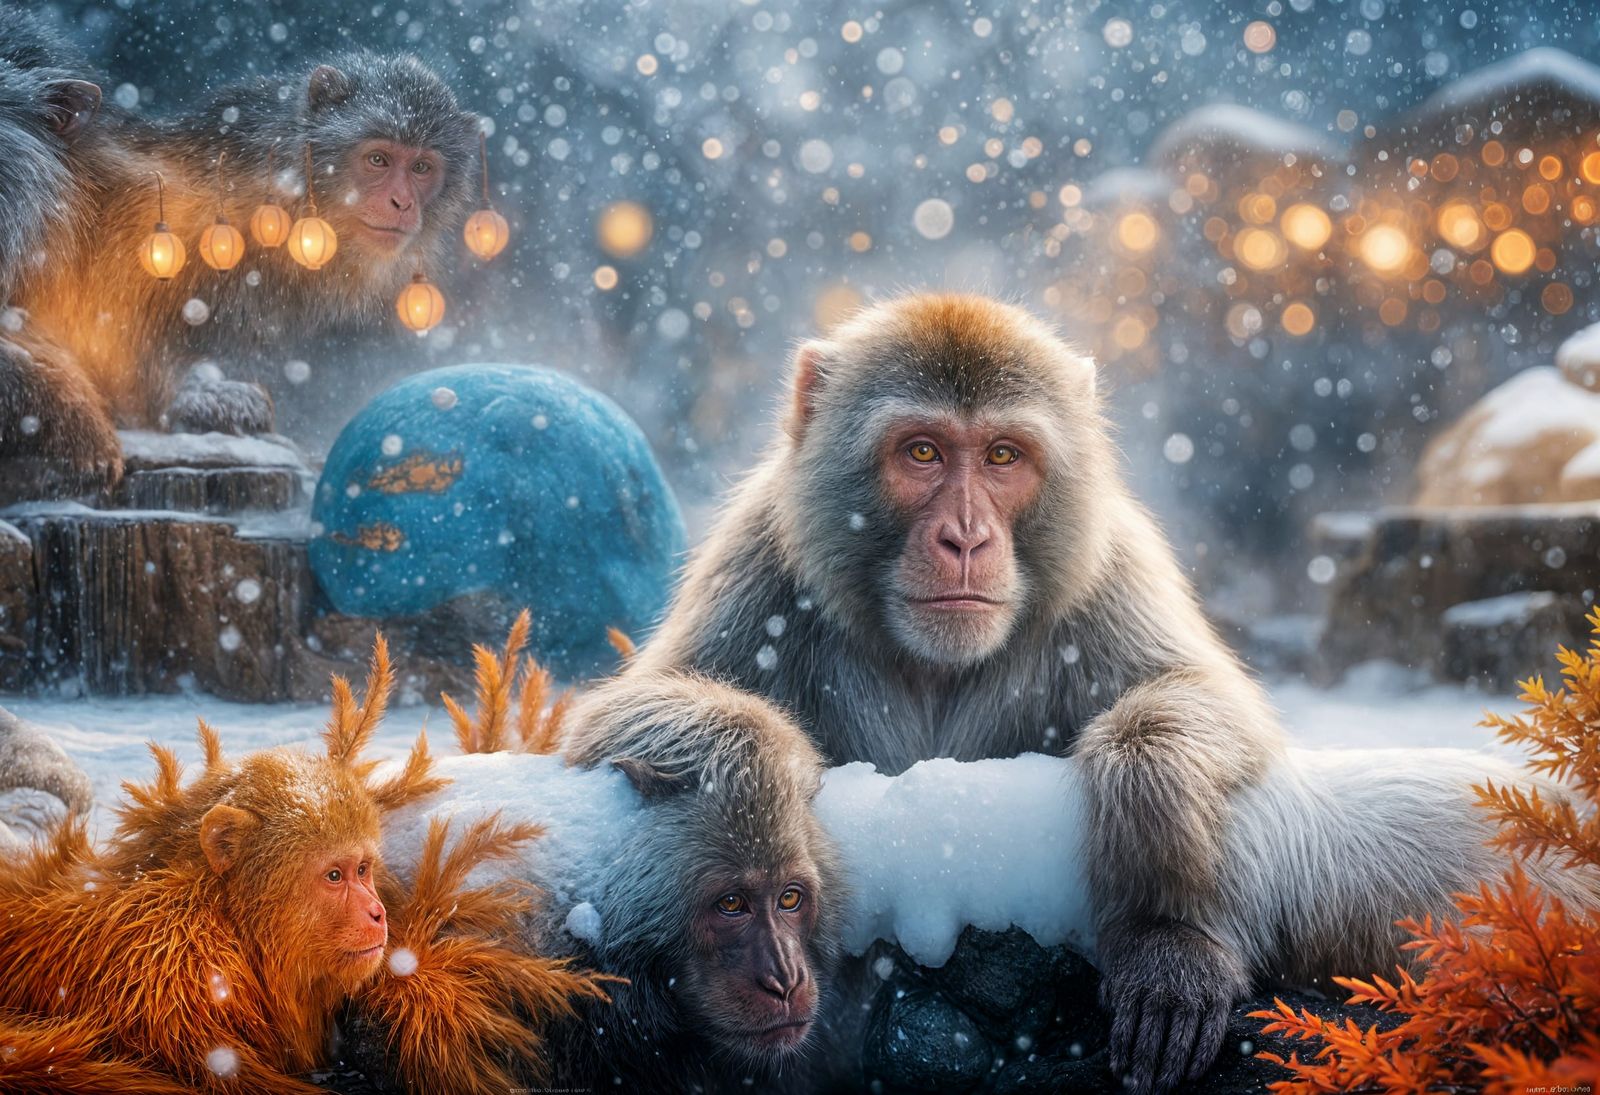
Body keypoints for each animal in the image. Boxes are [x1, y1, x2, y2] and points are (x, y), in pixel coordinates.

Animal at [625, 292, 1296, 1093]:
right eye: (923, 452)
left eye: (1003, 455)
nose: (967, 537)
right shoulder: (760, 562)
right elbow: (613, 721)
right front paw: (768, 778)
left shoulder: (1107, 569)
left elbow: (1203, 699)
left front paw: (1166, 931)